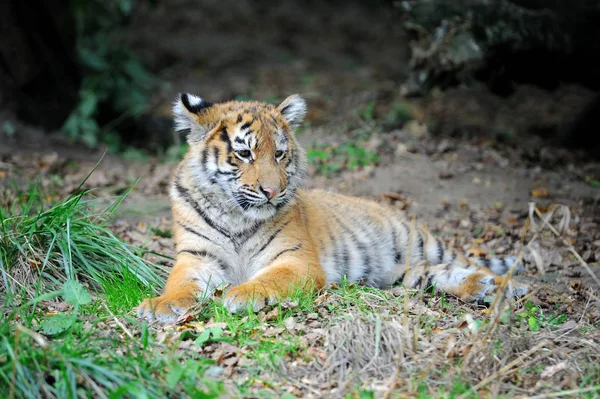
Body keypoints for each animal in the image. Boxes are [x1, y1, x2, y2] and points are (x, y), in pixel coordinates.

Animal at [137, 92, 528, 324]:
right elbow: (179, 283)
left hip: (420, 242)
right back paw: (484, 288)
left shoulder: (295, 259)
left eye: (280, 154)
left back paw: (510, 286)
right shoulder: (197, 257)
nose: (272, 191)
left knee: (470, 263)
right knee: (437, 274)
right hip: (402, 274)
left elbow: (268, 280)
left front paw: (241, 294)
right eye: (245, 153)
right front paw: (160, 305)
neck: (236, 215)